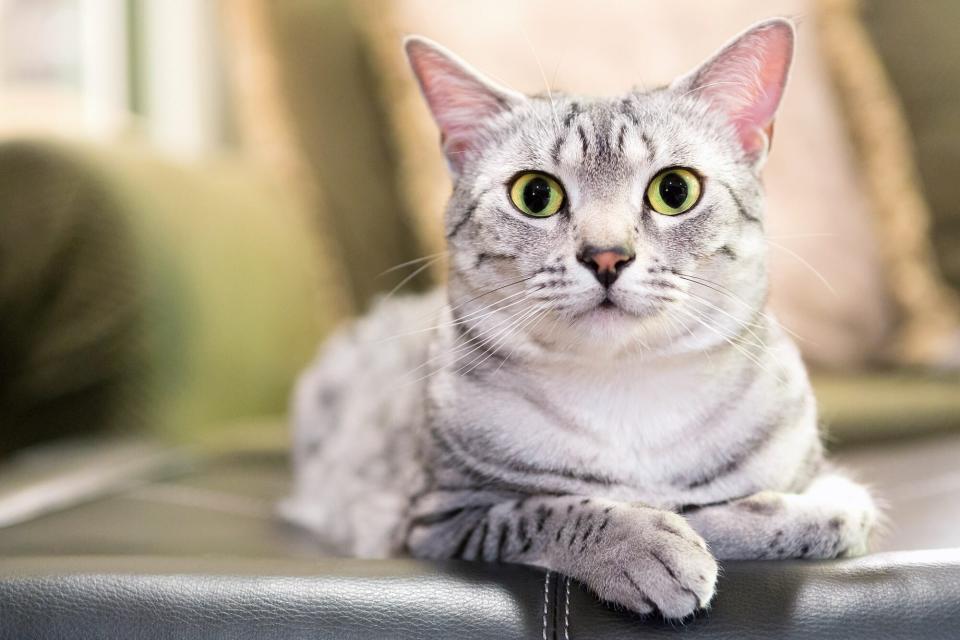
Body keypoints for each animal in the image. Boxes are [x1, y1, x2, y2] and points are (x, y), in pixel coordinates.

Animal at [278, 18, 876, 620]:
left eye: (674, 190)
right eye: (535, 194)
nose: (606, 256)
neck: (627, 397)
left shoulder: (817, 482)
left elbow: (824, 514)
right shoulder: (435, 520)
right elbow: (553, 510)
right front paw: (649, 544)